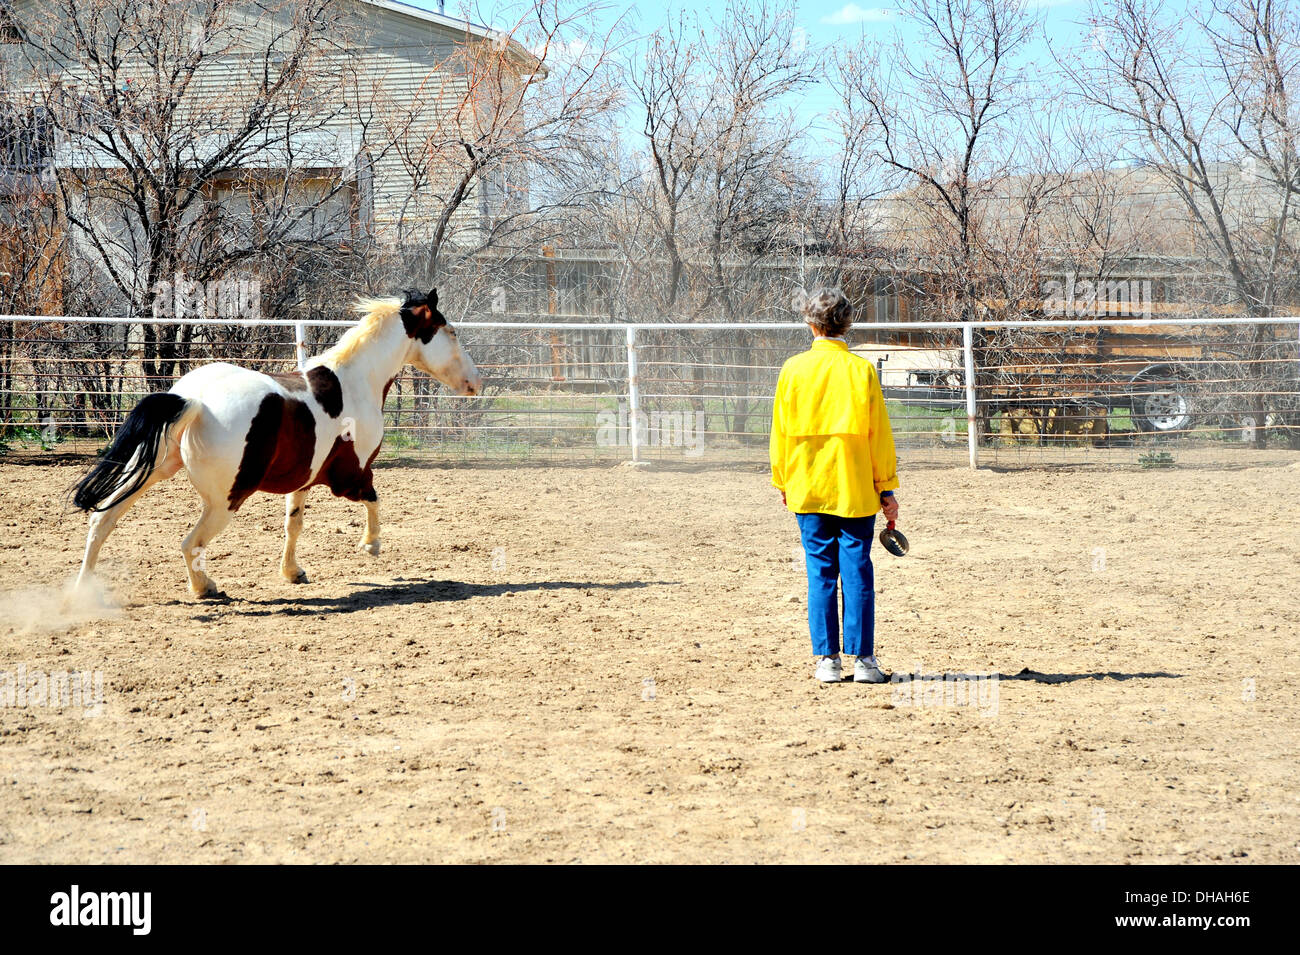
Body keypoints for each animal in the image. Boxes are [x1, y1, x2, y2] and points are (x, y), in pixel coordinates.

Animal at [71, 287, 481, 598]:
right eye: (450, 331)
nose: (475, 382)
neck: (355, 381)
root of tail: (193, 400)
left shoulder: (303, 478)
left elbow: (293, 524)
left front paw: (292, 572)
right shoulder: (351, 475)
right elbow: (374, 500)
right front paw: (370, 545)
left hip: (149, 471)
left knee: (102, 521)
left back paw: (83, 591)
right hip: (226, 500)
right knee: (190, 544)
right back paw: (205, 588)